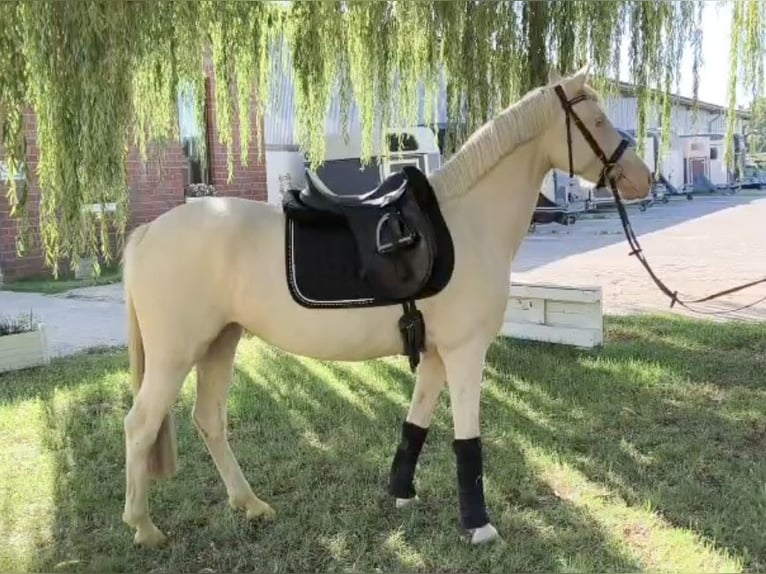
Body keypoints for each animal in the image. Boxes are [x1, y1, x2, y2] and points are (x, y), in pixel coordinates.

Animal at [120, 64, 653, 548]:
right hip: (175, 355)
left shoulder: (435, 354)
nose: (643, 178)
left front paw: (401, 493)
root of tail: (147, 233)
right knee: (140, 426)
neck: (467, 222)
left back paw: (250, 505)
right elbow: (467, 439)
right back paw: (144, 528)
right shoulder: (465, 352)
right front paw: (478, 526)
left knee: (209, 421)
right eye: (598, 119)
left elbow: (416, 423)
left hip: (219, 343)